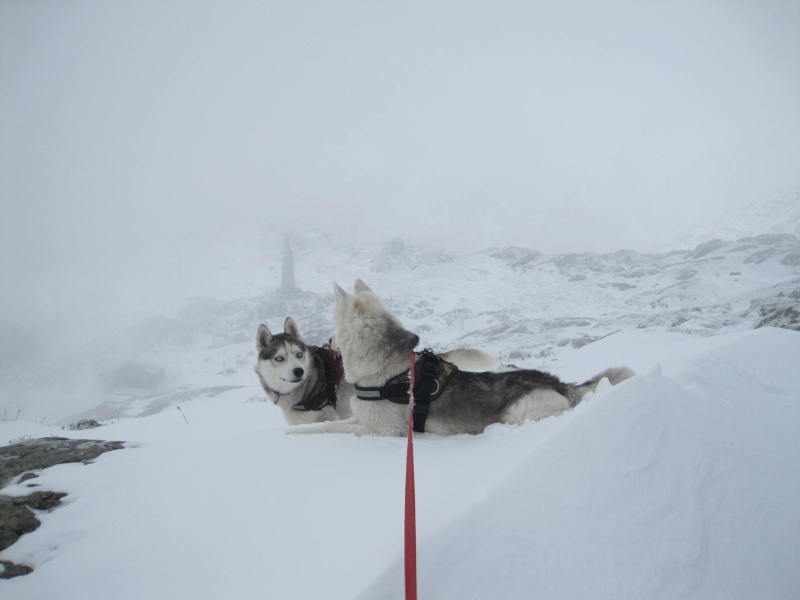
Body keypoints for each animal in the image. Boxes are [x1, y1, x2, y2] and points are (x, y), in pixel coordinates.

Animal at [290, 282, 636, 436]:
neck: (385, 372)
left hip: (517, 414)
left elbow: (331, 430)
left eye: (334, 326)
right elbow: (327, 425)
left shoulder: (382, 431)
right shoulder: (359, 420)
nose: (328, 342)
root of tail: (561, 384)